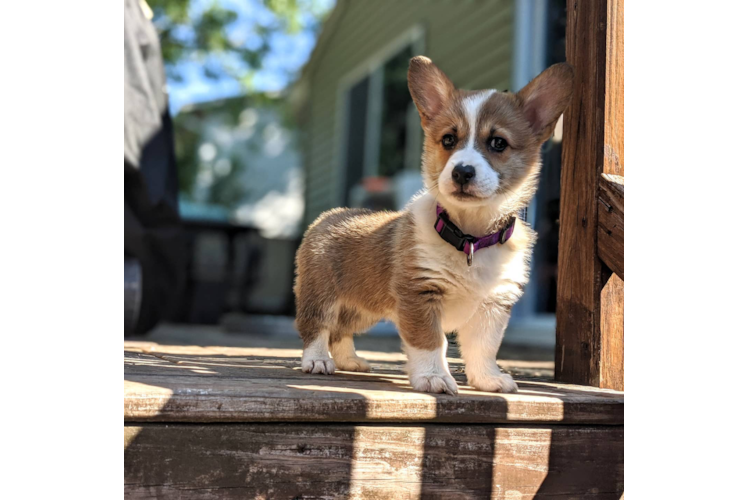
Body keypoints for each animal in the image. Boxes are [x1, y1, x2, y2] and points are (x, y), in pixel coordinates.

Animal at [292, 57, 572, 394]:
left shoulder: (492, 305)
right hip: (322, 295)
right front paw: (433, 377)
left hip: (364, 307)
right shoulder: (420, 294)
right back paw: (318, 360)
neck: (470, 235)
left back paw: (350, 361)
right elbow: (430, 342)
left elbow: (484, 347)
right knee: (317, 326)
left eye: (498, 143)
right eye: (448, 139)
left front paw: (487, 379)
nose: (462, 172)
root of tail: (329, 215)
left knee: (341, 331)